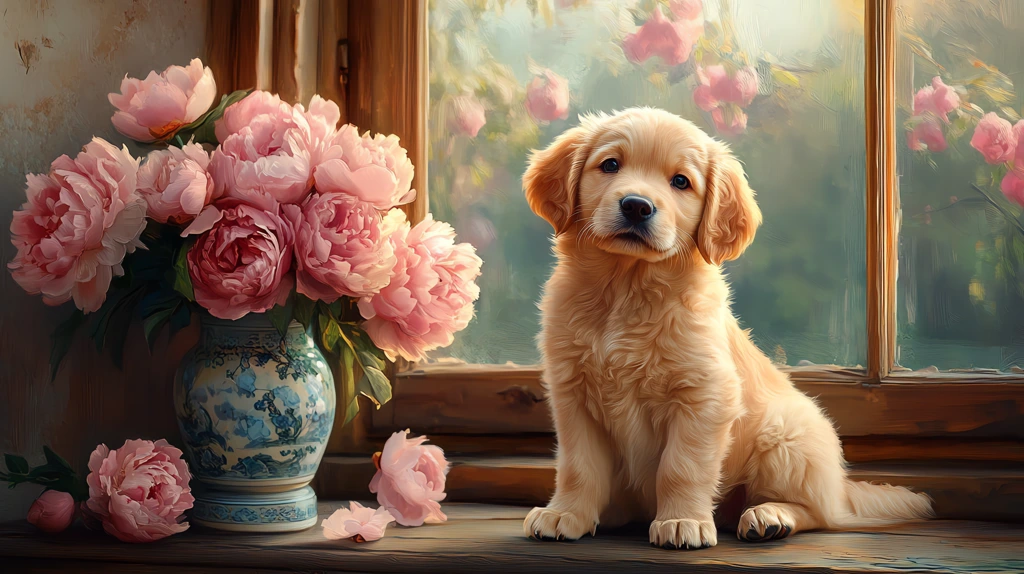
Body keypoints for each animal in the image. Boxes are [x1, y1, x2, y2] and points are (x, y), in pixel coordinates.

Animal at [524, 108, 933, 552]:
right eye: (610, 165)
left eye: (680, 182)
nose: (636, 206)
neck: (627, 289)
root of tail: (841, 490)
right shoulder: (573, 395)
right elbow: (578, 466)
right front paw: (566, 513)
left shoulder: (705, 396)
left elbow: (681, 465)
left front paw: (682, 520)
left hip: (785, 436)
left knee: (820, 514)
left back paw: (770, 517)